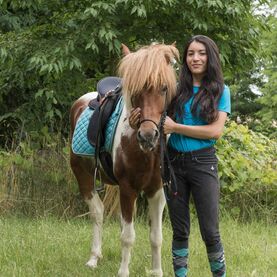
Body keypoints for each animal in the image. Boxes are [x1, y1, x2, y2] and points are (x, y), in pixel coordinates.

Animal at [69, 43, 179, 276]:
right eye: (136, 91)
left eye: (164, 88)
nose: (148, 136)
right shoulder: (128, 188)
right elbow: (127, 237)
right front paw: (123, 271)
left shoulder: (157, 191)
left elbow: (156, 237)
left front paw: (156, 271)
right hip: (83, 177)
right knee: (97, 212)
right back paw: (94, 258)